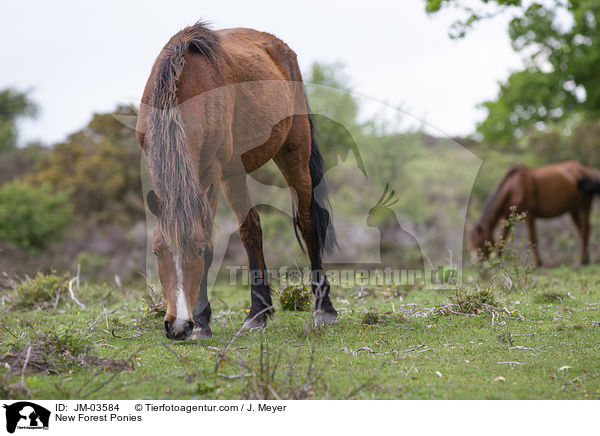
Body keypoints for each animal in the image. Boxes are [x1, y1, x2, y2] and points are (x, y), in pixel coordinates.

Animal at [137, 22, 340, 340]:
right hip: (236, 174)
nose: (178, 326)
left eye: (197, 250)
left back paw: (323, 309)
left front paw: (202, 323)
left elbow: (216, 242)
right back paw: (258, 313)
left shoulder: (212, 173)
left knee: (307, 223)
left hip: (293, 152)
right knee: (252, 231)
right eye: (157, 251)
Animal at [468, 161, 600, 266]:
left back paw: (581, 260)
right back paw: (585, 258)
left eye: (479, 242)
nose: (477, 262)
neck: (514, 187)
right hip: (573, 209)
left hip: (585, 204)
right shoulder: (507, 218)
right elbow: (502, 238)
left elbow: (532, 238)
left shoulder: (529, 215)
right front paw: (498, 258)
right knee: (582, 229)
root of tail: (585, 170)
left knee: (585, 229)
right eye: (471, 243)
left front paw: (537, 262)